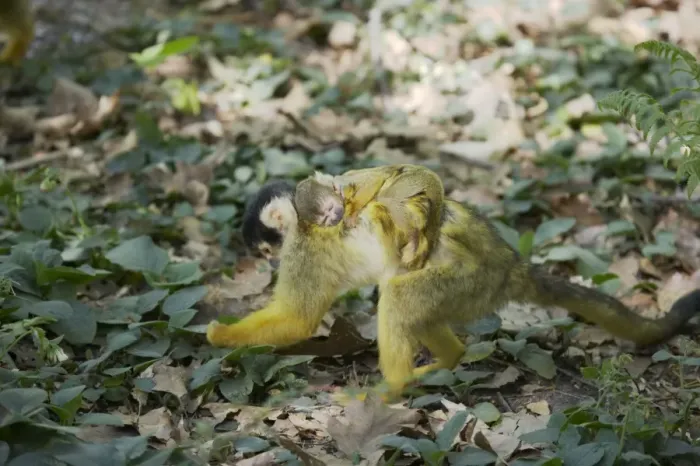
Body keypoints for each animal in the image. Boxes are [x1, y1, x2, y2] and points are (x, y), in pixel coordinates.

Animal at [211, 164, 700, 401]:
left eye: (268, 249)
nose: (268, 262)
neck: (304, 222)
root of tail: (509, 264)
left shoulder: (306, 249)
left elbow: (297, 319)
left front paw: (218, 335)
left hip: (470, 281)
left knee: (398, 295)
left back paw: (392, 387)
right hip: (467, 291)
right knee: (407, 295)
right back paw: (445, 361)